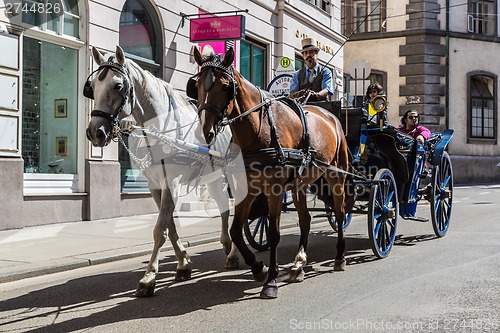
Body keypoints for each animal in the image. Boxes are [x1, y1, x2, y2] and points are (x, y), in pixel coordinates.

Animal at [85, 46, 239, 296]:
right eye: (92, 87)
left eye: (118, 86)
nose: (95, 132)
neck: (159, 128)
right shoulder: (155, 184)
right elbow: (170, 225)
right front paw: (183, 263)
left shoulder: (172, 182)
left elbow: (160, 229)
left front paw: (148, 277)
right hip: (213, 175)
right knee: (224, 206)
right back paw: (227, 244)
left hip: (236, 173)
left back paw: (235, 251)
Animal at [189, 46, 350, 298]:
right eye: (196, 87)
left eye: (225, 86)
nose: (206, 132)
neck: (259, 128)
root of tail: (331, 116)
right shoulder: (247, 188)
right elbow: (236, 231)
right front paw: (257, 267)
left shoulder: (274, 190)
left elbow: (273, 233)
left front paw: (271, 279)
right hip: (300, 184)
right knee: (305, 219)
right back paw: (298, 264)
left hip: (337, 176)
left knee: (340, 213)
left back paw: (340, 257)